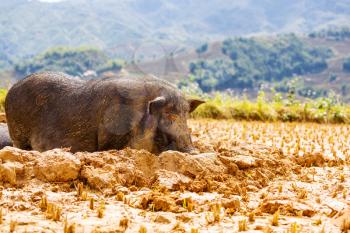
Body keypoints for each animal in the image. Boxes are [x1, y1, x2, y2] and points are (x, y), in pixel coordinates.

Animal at [4, 72, 204, 154]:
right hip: (18, 134)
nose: (193, 151)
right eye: (170, 115)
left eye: (186, 116)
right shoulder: (110, 138)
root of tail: (10, 90)